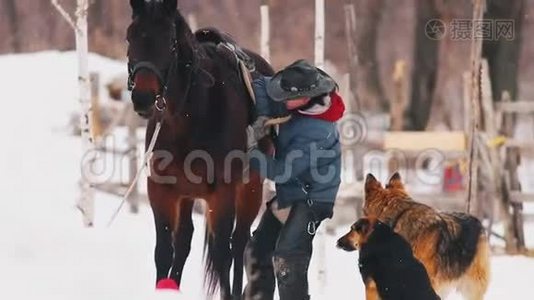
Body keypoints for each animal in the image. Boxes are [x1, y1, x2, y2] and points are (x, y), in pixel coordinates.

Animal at [127, 0, 274, 298]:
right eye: (130, 37)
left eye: (170, 43)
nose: (143, 98)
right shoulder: (161, 190)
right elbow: (165, 251)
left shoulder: (222, 194)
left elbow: (222, 254)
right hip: (187, 194)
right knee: (185, 239)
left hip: (250, 188)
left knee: (238, 243)